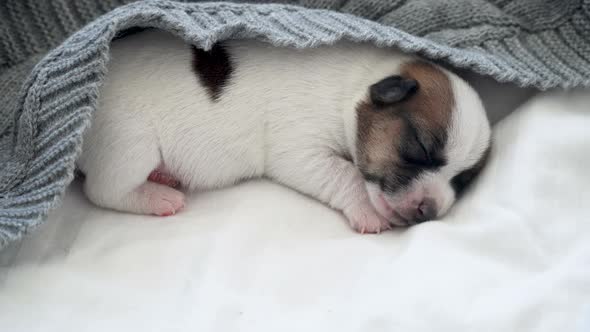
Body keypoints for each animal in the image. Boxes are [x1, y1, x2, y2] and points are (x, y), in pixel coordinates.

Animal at [80, 30, 494, 233]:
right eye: (419, 149)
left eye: (463, 180)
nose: (428, 211)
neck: (356, 84)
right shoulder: (300, 150)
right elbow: (345, 174)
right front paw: (367, 209)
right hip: (129, 142)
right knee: (102, 190)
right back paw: (157, 196)